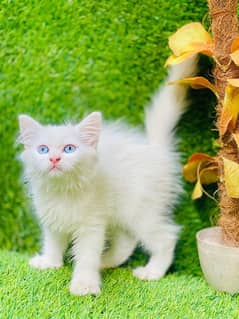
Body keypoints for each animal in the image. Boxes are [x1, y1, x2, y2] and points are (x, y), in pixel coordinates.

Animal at [18, 56, 198, 296]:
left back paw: (152, 272)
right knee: (126, 242)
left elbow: (86, 256)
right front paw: (50, 262)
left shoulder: (91, 225)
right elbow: (53, 243)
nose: (54, 159)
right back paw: (105, 262)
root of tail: (155, 149)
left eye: (69, 149)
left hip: (141, 211)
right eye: (43, 150)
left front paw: (84, 284)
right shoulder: (53, 219)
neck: (64, 192)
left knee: (166, 237)